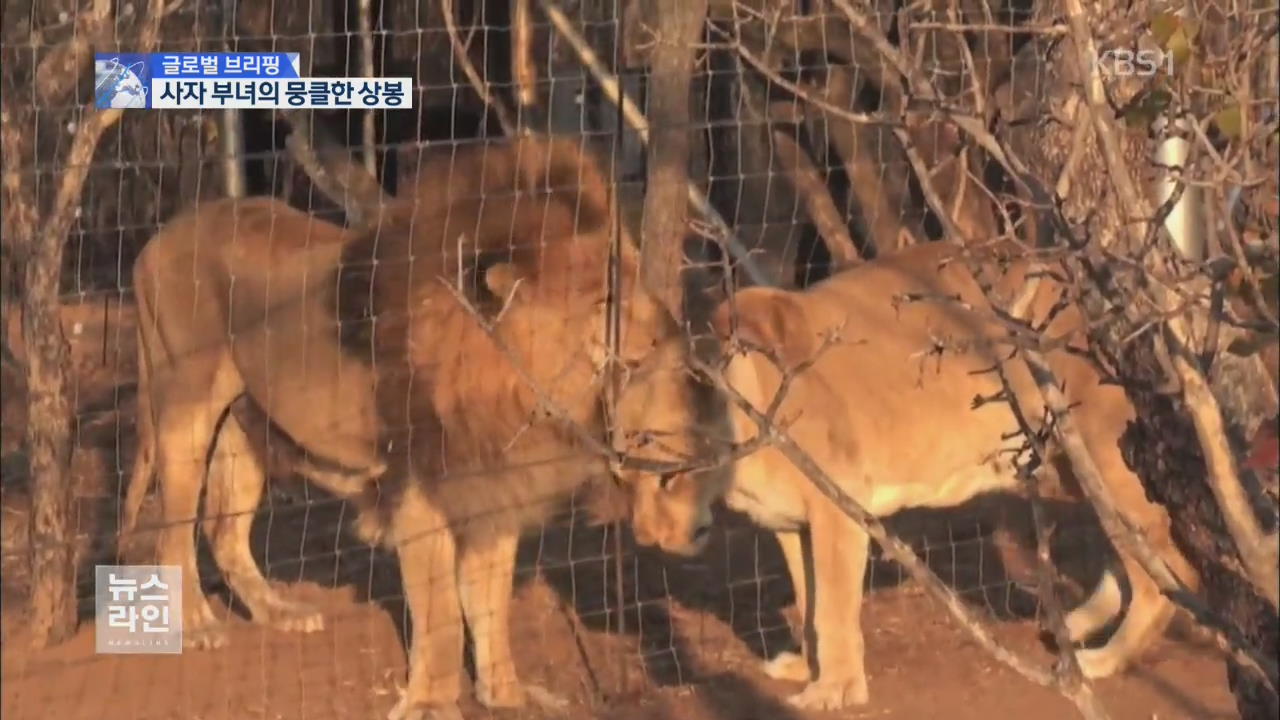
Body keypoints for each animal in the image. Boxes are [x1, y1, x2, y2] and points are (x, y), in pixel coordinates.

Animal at [120, 134, 721, 717]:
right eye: (606, 304)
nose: (671, 336)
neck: (511, 392)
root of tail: (157, 240)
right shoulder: (420, 492)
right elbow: (442, 614)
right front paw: (431, 702)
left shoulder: (493, 489)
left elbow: (490, 603)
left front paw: (506, 693)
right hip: (184, 410)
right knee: (173, 530)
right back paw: (197, 624)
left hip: (246, 426)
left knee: (223, 531)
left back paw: (278, 611)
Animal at [711, 239, 1198, 707]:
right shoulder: (792, 525)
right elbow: (809, 602)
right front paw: (808, 669)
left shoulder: (837, 512)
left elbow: (831, 607)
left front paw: (834, 690)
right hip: (1075, 465)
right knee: (1131, 556)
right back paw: (1077, 622)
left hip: (1104, 454)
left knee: (1166, 574)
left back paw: (1103, 657)